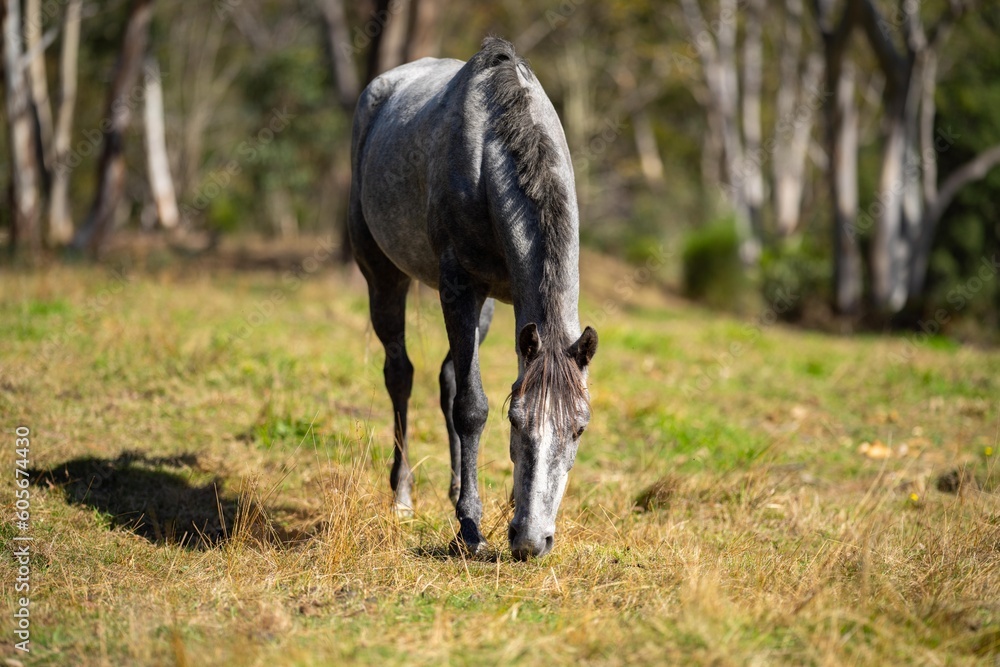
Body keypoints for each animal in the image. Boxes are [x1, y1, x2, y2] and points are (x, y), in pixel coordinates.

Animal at [349, 36, 597, 560]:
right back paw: (403, 496)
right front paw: (470, 527)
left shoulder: (500, 303)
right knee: (400, 375)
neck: (486, 156)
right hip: (384, 275)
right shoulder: (458, 287)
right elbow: (472, 407)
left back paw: (455, 486)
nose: (532, 542)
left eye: (579, 428)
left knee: (446, 377)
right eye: (516, 422)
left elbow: (466, 391)